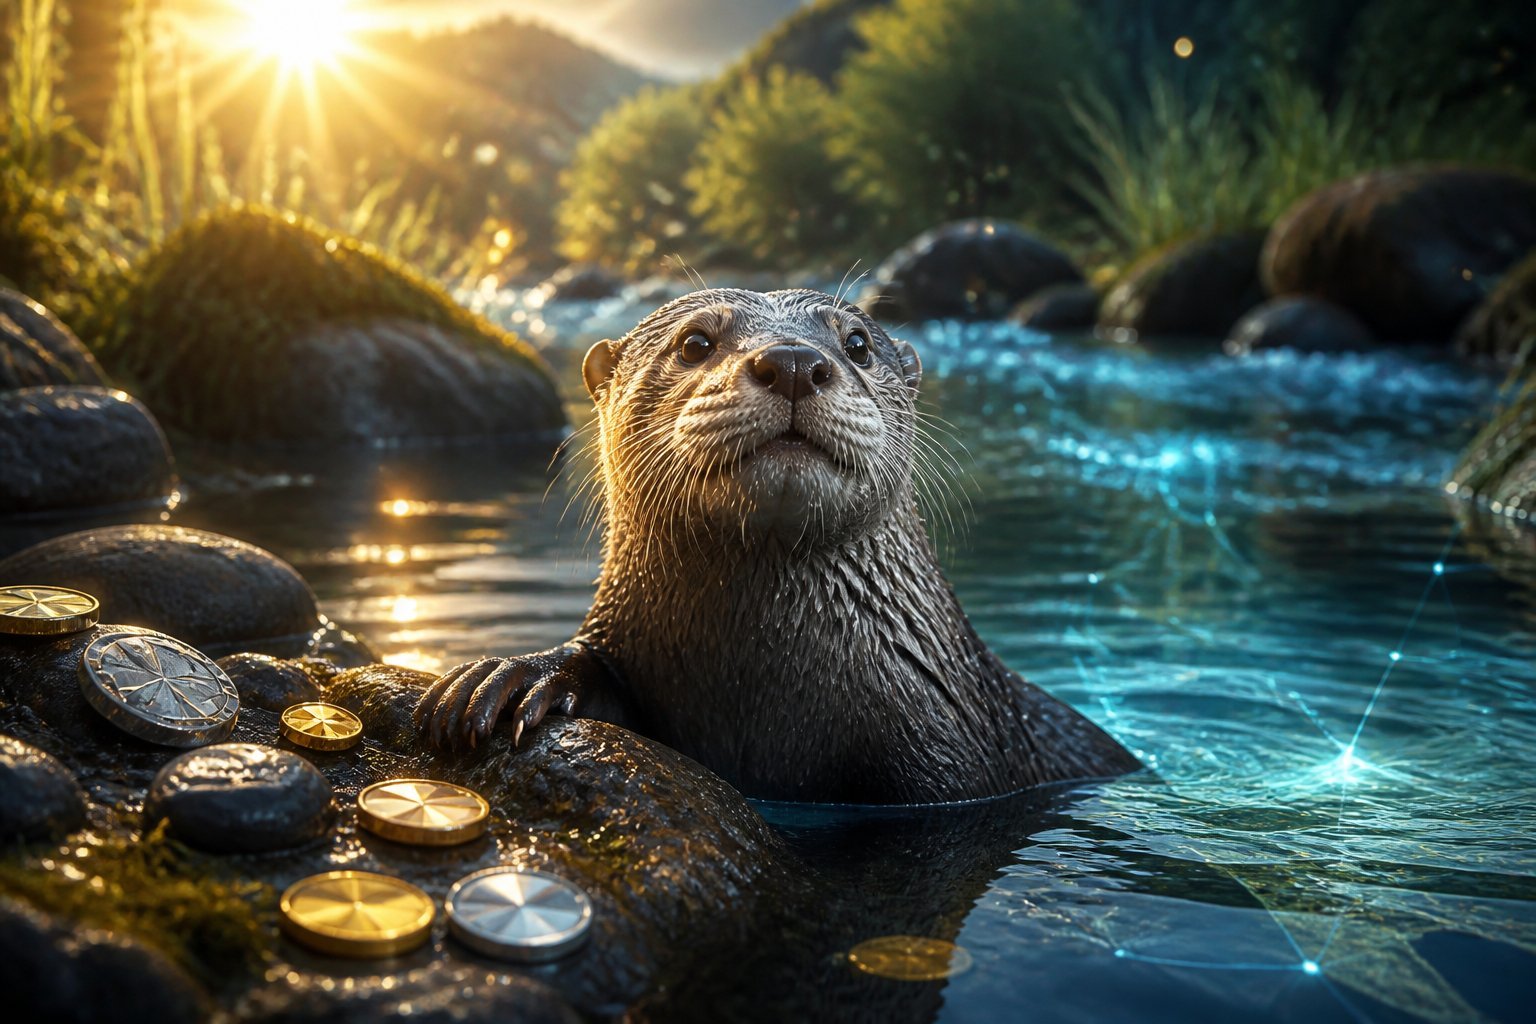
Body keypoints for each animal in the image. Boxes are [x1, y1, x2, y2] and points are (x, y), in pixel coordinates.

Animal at [417, 288, 1139, 803]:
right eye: (695, 342)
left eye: (857, 343)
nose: (793, 361)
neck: (767, 685)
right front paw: (516, 677)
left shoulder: (948, 760)